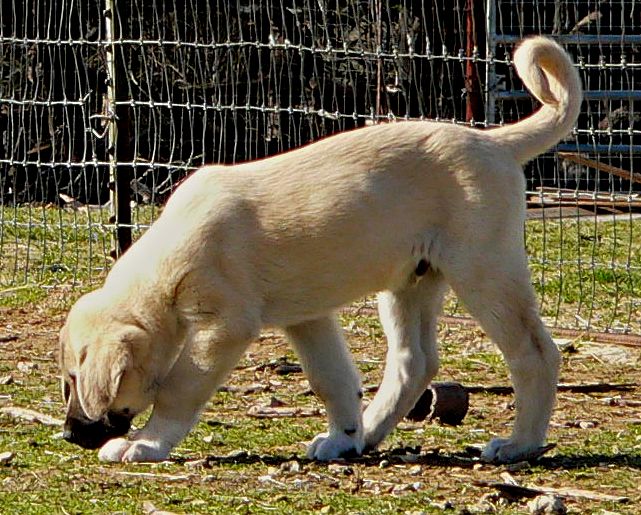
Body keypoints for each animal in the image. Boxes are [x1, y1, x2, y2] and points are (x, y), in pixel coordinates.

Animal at [58, 36, 580, 464]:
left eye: (73, 379)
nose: (68, 436)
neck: (162, 271)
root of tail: (493, 142)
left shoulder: (223, 327)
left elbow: (178, 388)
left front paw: (147, 443)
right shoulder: (306, 319)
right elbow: (331, 378)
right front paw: (343, 436)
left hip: (483, 272)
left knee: (534, 353)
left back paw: (520, 444)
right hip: (410, 282)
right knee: (413, 363)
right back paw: (369, 434)